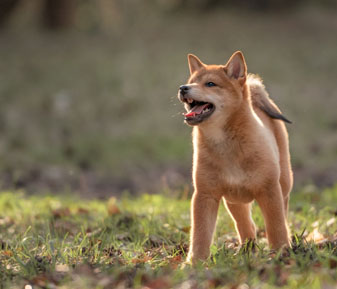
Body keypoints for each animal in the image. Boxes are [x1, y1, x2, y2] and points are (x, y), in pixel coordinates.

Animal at [178, 50, 292, 262]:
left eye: (210, 84)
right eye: (191, 81)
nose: (183, 88)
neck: (226, 145)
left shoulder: (269, 190)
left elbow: (276, 226)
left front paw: (280, 252)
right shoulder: (205, 195)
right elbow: (200, 234)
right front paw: (194, 262)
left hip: (284, 184)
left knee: (283, 214)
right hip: (234, 201)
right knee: (246, 226)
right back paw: (247, 249)